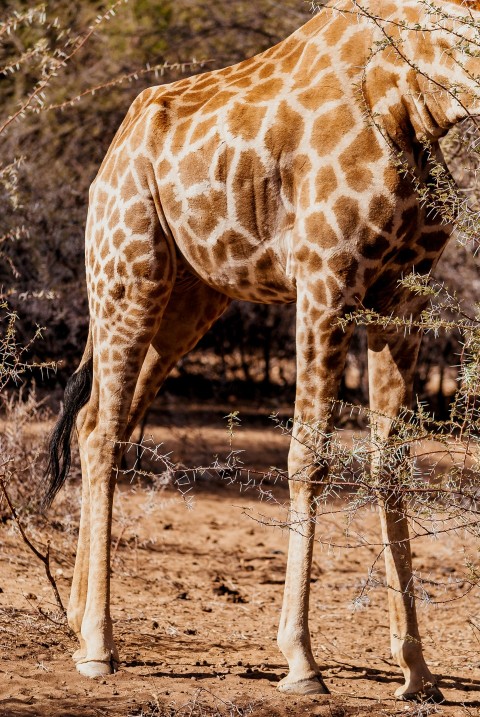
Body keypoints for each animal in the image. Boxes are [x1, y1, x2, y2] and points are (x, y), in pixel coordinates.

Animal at [43, 0, 480, 700]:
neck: (422, 91)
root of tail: (111, 155)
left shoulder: (404, 292)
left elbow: (391, 464)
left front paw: (417, 670)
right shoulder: (326, 276)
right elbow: (309, 454)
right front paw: (301, 660)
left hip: (189, 300)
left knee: (95, 423)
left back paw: (79, 622)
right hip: (127, 272)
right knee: (106, 431)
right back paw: (99, 647)